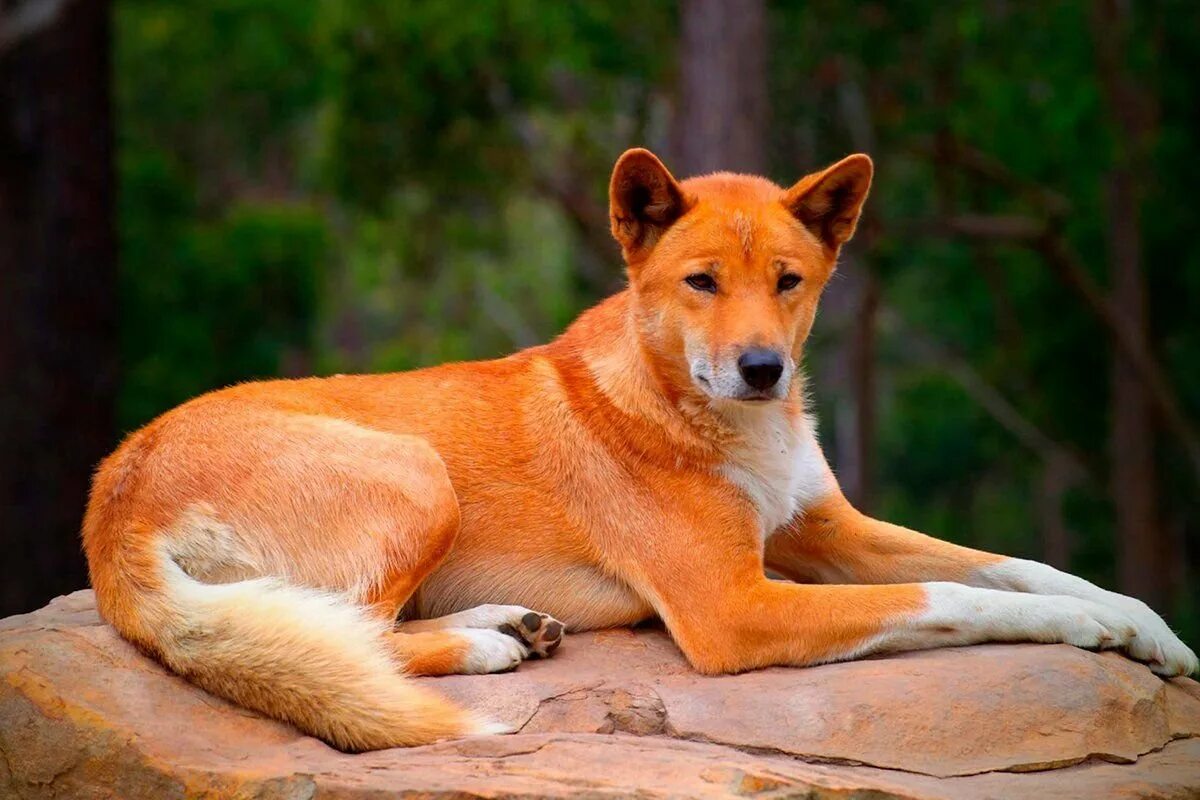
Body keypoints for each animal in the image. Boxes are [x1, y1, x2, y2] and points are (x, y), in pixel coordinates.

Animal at [79, 148, 1195, 753]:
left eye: (788, 281)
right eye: (701, 282)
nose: (762, 367)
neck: (720, 420)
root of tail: (110, 491)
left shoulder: (827, 530)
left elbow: (1025, 565)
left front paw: (1145, 629)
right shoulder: (733, 608)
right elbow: (963, 595)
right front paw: (1081, 632)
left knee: (340, 625)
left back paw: (507, 623)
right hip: (418, 472)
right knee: (349, 630)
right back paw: (485, 643)